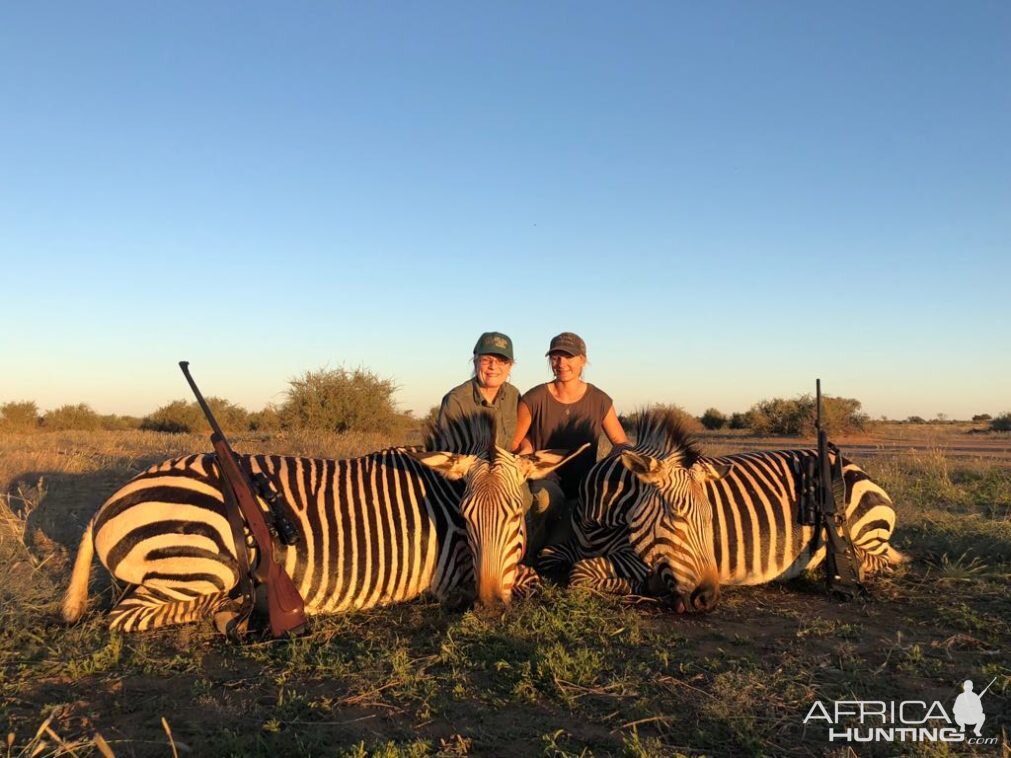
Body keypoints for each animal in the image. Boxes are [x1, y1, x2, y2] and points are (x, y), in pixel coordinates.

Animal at [65, 412, 586, 630]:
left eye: (516, 515)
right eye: (466, 516)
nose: (488, 606)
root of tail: (103, 508)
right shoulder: (456, 573)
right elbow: (533, 579)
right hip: (202, 562)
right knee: (125, 616)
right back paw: (237, 608)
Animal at [545, 410, 909, 610]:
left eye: (710, 519)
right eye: (675, 517)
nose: (708, 597)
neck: (596, 523)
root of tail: (852, 465)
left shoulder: (638, 559)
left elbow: (579, 574)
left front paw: (643, 587)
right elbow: (551, 557)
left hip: (864, 532)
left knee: (874, 560)